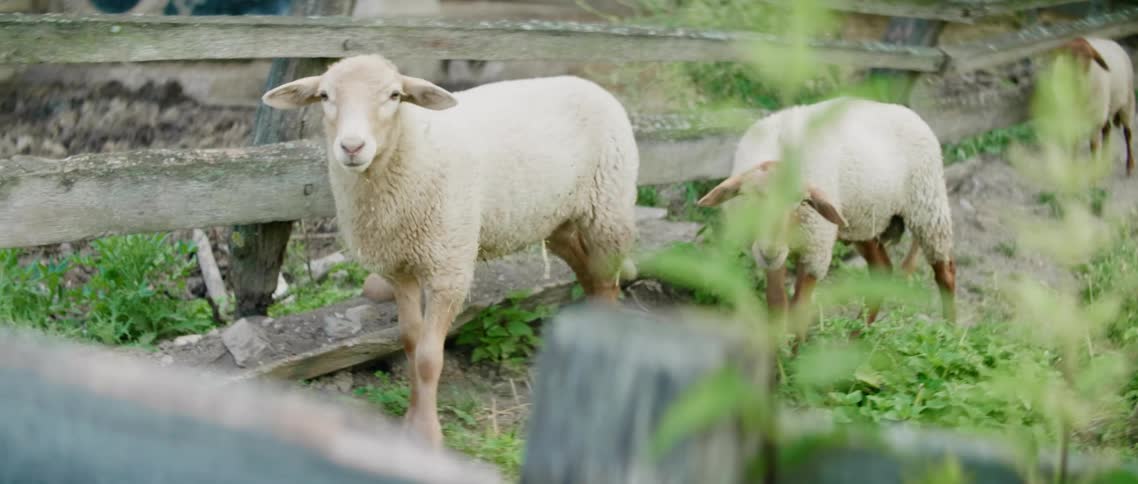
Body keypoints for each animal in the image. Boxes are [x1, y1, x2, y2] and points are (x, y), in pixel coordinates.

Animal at [261, 54, 639, 447]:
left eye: (394, 95)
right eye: (324, 96)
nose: (352, 147)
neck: (412, 150)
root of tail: (588, 84)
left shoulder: (448, 267)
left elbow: (428, 358)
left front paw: (427, 434)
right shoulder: (399, 268)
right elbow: (411, 343)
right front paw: (411, 422)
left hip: (608, 209)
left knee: (606, 282)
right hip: (556, 220)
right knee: (589, 273)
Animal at [696, 97, 956, 328]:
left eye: (801, 202)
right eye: (749, 197)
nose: (770, 250)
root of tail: (907, 111)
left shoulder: (816, 250)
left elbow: (799, 310)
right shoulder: (771, 255)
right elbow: (777, 305)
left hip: (928, 207)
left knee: (945, 272)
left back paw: (950, 332)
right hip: (862, 224)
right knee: (882, 270)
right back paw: (856, 336)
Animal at [1058, 36, 1135, 175]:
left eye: (1089, 58)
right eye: (1069, 56)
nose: (1078, 80)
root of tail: (1112, 41)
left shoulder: (1094, 120)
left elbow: (1093, 147)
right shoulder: (1070, 120)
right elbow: (1073, 146)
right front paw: (1072, 172)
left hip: (1127, 101)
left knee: (1128, 133)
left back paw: (1130, 166)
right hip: (1107, 107)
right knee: (1107, 130)